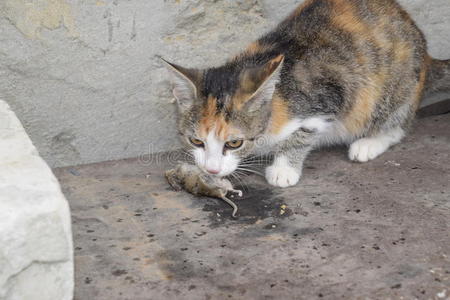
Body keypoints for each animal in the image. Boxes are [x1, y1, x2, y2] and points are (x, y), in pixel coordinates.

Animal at [162, 0, 450, 188]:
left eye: (234, 143)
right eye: (196, 141)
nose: (211, 168)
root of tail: (426, 55)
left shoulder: (327, 97)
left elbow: (302, 134)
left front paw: (284, 168)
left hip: (392, 90)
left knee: (396, 124)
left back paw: (368, 143)